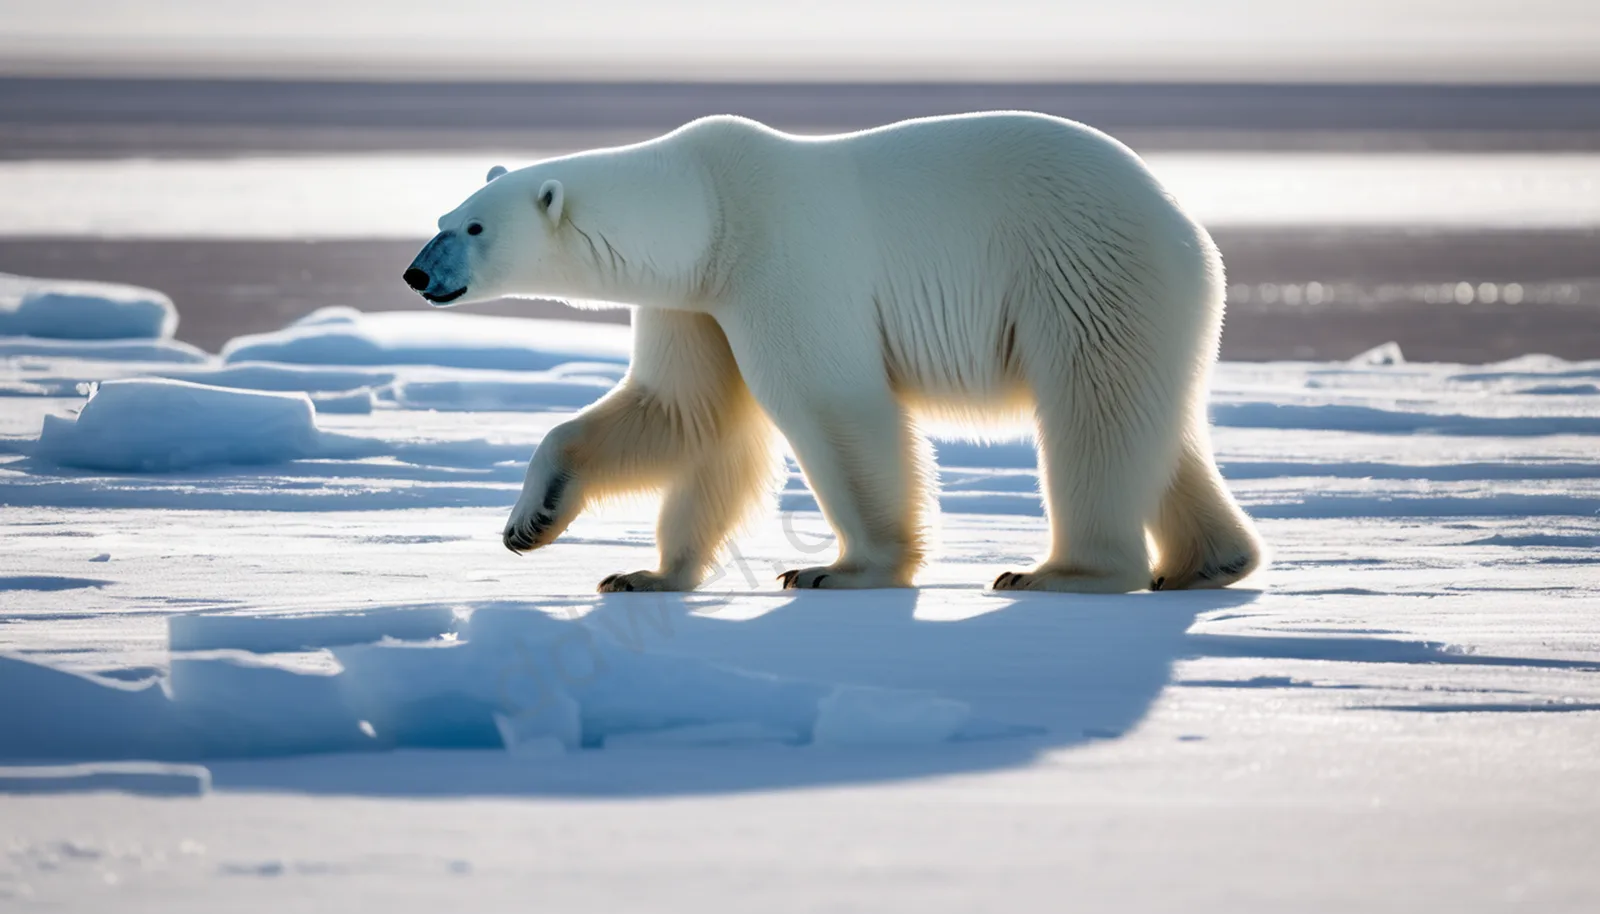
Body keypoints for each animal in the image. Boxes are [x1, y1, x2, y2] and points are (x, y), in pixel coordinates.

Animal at [403, 112, 1264, 594]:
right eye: (443, 217)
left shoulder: (780, 262)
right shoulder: (696, 300)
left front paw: (839, 568)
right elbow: (686, 413)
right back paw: (1208, 562)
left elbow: (831, 405)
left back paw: (1059, 571)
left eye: (473, 228)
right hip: (1142, 301)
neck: (708, 212)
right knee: (1156, 426)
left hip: (1083, 270)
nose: (415, 273)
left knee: (1093, 417)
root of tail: (1188, 226)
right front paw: (587, 548)